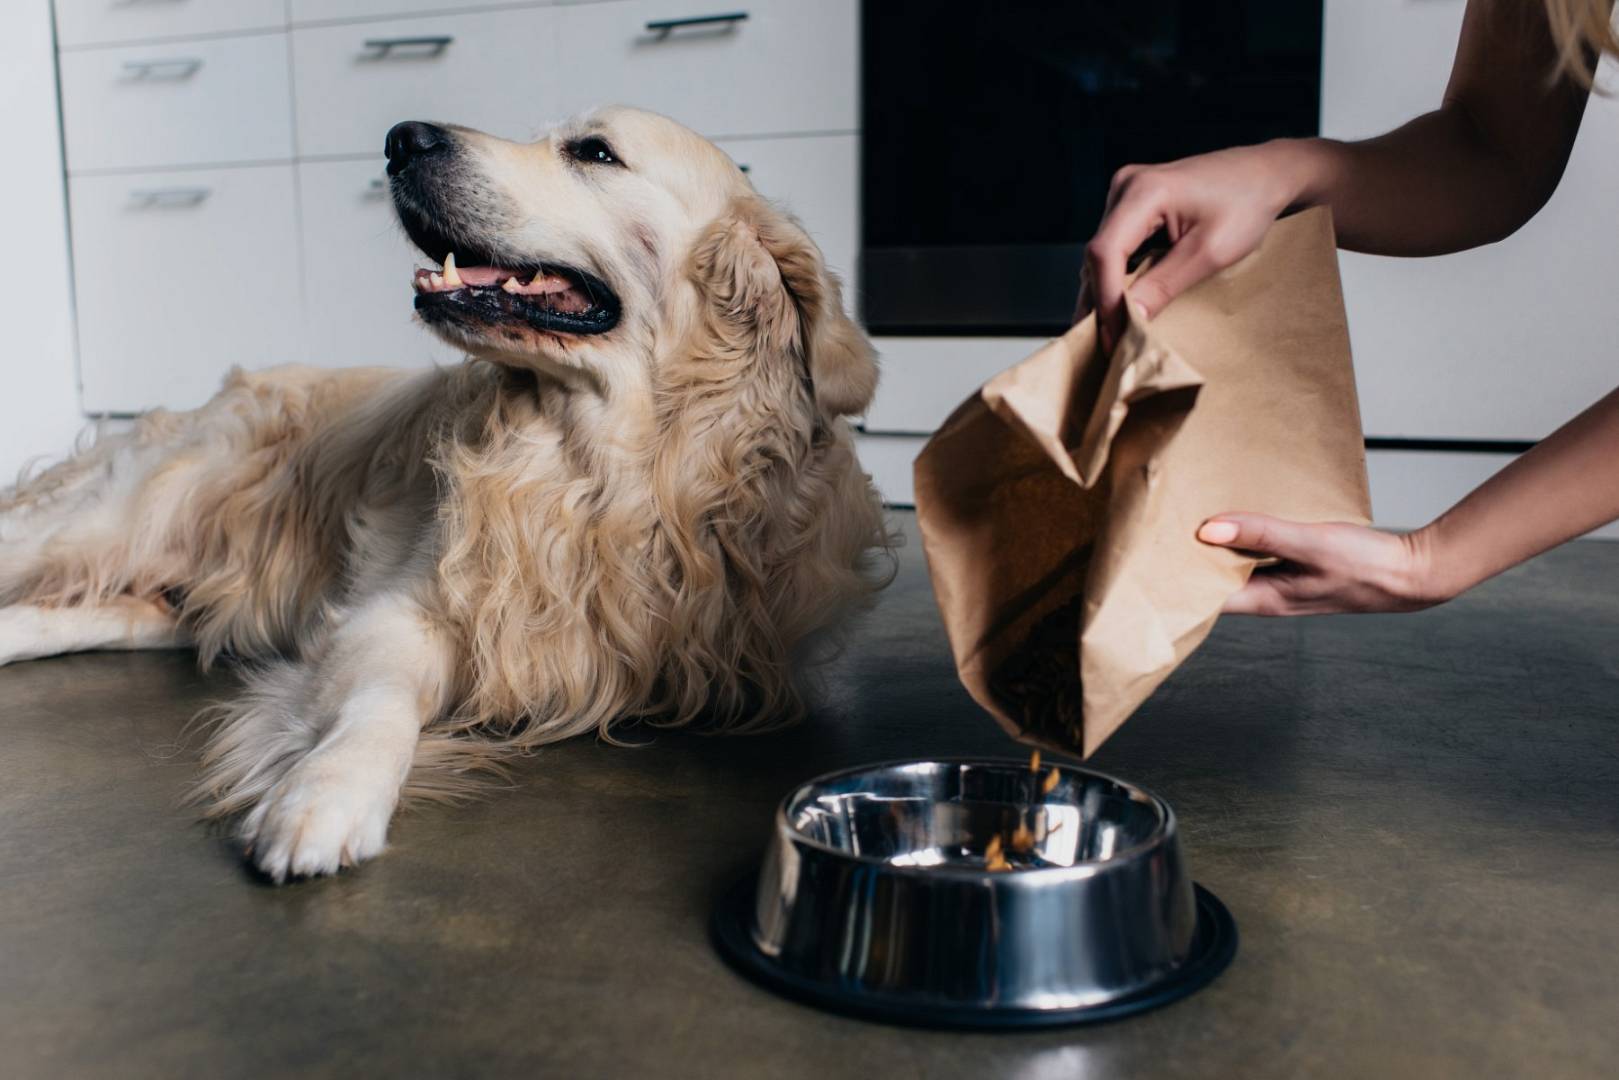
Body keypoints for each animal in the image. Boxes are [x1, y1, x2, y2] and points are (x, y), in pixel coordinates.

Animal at [0, 107, 887, 887]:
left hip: (175, 600)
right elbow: (379, 706)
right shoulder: (395, 613)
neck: (599, 471)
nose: (402, 139)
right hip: (113, 520)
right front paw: (323, 798)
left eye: (595, 151)